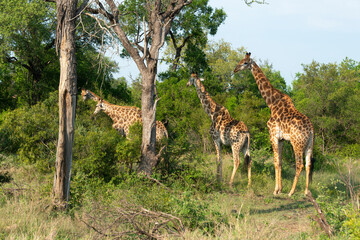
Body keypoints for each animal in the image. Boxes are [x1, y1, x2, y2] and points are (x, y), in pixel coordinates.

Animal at [233, 52, 316, 197]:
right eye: (241, 60)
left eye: (245, 62)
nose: (235, 69)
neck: (271, 103)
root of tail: (311, 130)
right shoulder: (281, 139)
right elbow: (280, 162)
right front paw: (280, 189)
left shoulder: (273, 135)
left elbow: (275, 162)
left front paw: (276, 190)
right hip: (310, 144)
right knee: (308, 164)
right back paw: (306, 192)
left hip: (297, 144)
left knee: (299, 164)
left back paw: (291, 192)